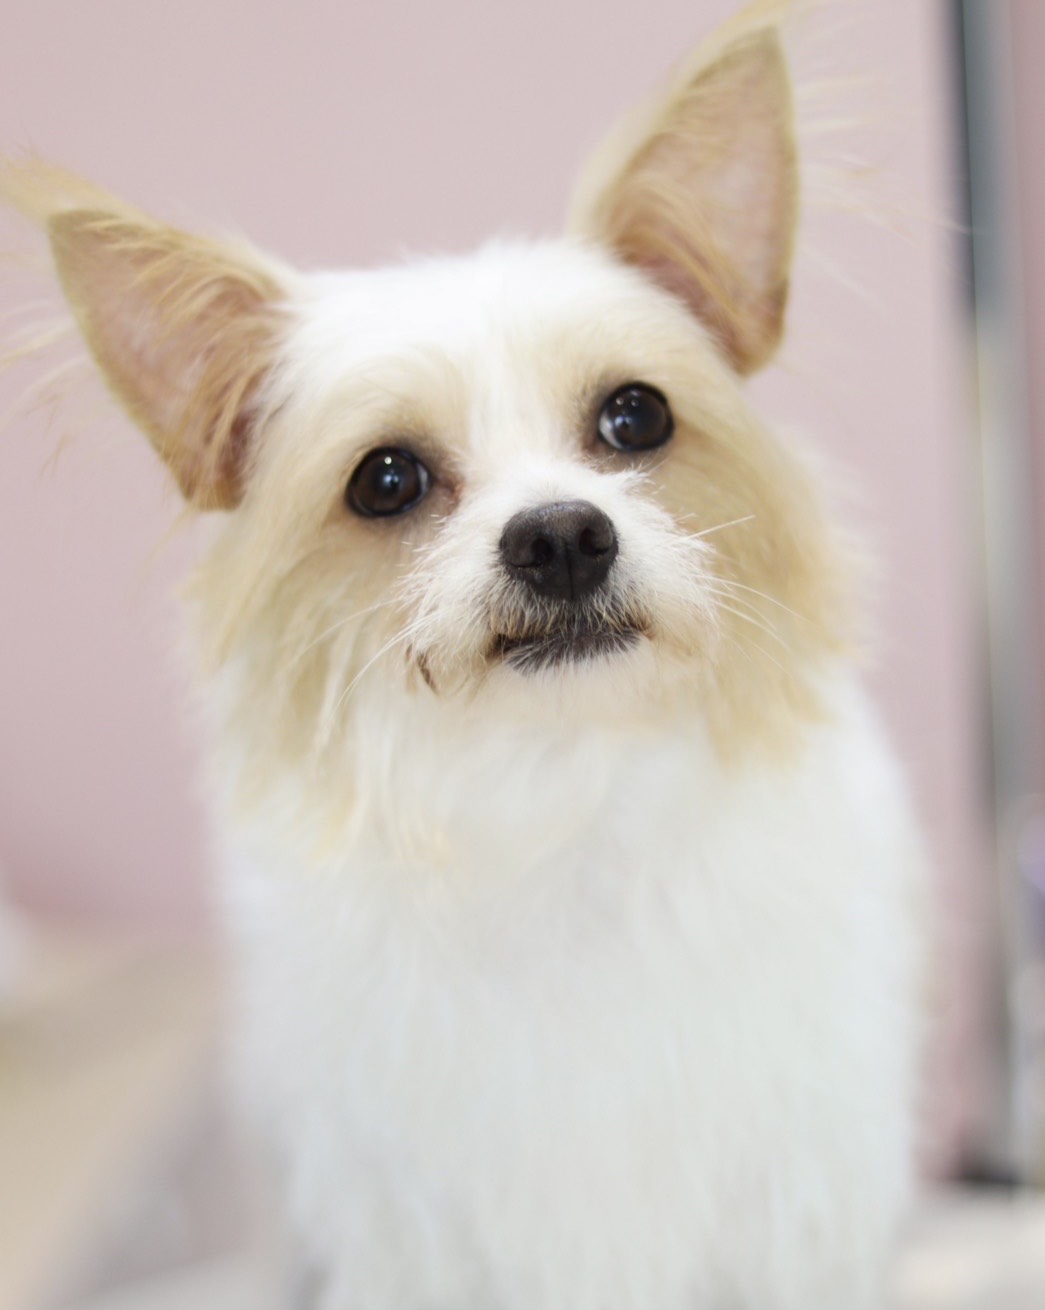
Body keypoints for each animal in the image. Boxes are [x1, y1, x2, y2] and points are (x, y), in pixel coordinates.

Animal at [3, 4, 924, 1307]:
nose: (560, 534)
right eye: (385, 479)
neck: (559, 792)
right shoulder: (404, 1225)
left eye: (635, 415)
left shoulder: (798, 1201)